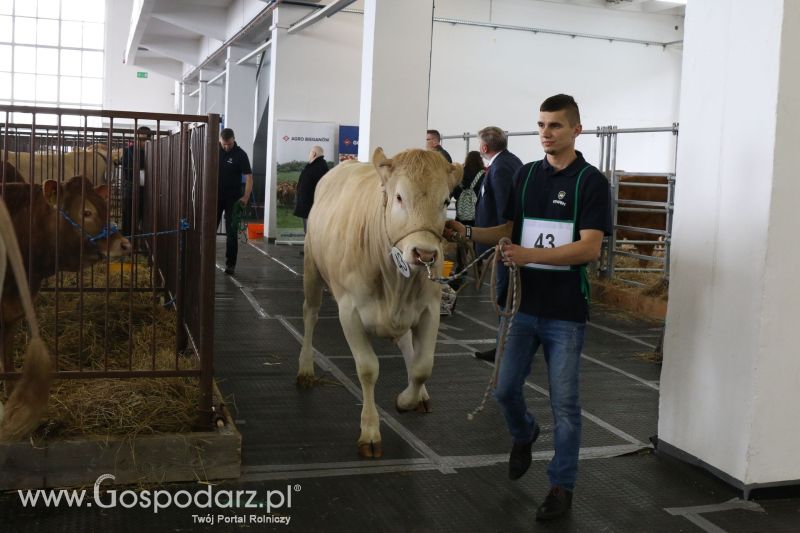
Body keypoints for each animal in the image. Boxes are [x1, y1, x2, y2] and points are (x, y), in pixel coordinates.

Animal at [298, 148, 462, 456]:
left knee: (407, 345)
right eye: (398, 197)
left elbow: (423, 367)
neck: (396, 282)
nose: (425, 254)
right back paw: (305, 369)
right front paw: (370, 431)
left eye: (446, 201)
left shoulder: (430, 310)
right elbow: (368, 369)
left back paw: (419, 395)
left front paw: (407, 400)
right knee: (310, 315)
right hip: (312, 270)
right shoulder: (349, 311)